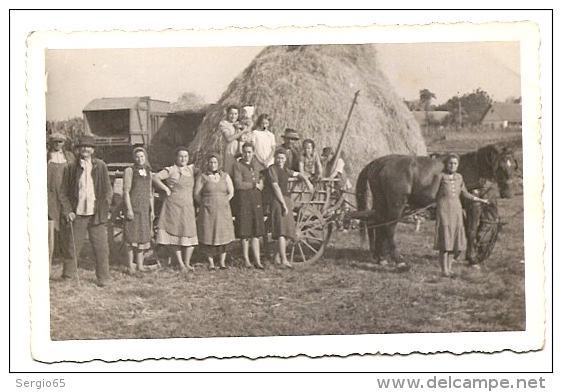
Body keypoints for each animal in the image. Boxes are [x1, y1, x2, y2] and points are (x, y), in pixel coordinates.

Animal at [356, 142, 516, 264]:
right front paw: (472, 259)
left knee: (377, 223)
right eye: (500, 166)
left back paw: (380, 257)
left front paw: (457, 253)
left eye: (513, 166)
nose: (508, 193)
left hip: (381, 201)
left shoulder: (462, 206)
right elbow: (471, 231)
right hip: (397, 204)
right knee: (389, 227)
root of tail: (379, 162)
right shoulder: (474, 206)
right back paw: (398, 259)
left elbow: (463, 227)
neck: (474, 169)